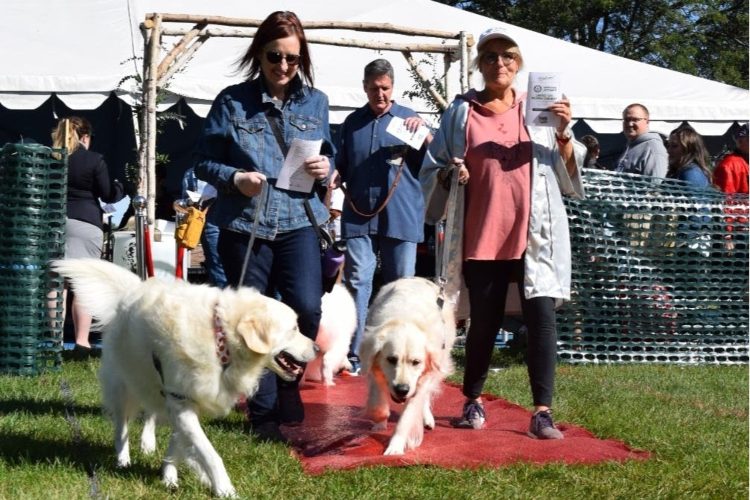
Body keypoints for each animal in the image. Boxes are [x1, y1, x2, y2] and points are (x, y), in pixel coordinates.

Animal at [51, 260, 318, 498]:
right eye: (294, 328)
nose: (317, 348)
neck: (221, 339)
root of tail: (132, 290)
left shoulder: (186, 399)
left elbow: (180, 443)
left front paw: (171, 476)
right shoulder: (181, 401)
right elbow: (209, 452)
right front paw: (224, 488)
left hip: (156, 388)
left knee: (151, 414)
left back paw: (149, 445)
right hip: (124, 385)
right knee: (121, 427)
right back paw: (123, 460)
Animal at [360, 278, 458, 458]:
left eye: (416, 362)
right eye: (391, 359)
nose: (402, 390)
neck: (405, 319)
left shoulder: (422, 380)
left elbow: (406, 417)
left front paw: (395, 448)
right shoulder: (375, 370)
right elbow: (378, 403)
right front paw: (380, 419)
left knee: (425, 397)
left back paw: (427, 419)